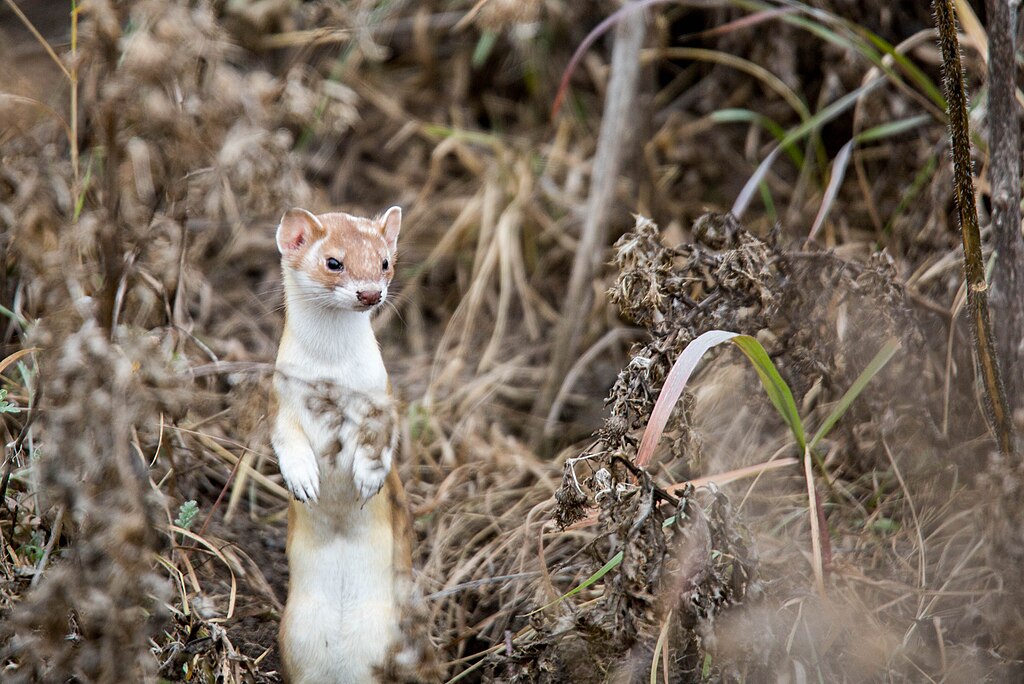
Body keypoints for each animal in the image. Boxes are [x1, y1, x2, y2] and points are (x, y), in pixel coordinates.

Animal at [276, 205, 415, 679]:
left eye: (385, 262)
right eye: (333, 261)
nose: (370, 293)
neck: (332, 376)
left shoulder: (381, 395)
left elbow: (383, 440)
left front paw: (369, 478)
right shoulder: (282, 398)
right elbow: (286, 441)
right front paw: (302, 479)